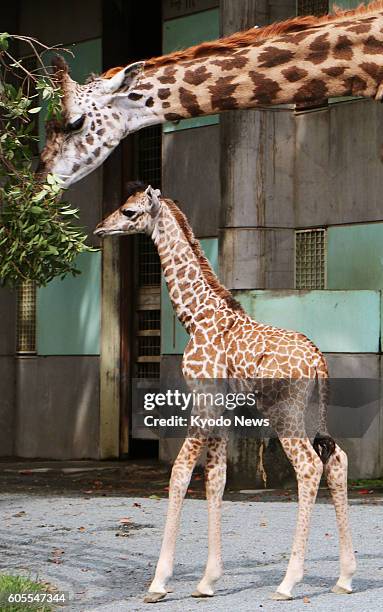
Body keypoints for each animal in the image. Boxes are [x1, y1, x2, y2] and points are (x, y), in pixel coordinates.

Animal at [94, 182, 356, 604]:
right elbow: (216, 478)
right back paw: (345, 577)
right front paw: (207, 581)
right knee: (336, 459)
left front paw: (159, 583)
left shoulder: (201, 400)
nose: (101, 227)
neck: (196, 317)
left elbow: (180, 474)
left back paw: (288, 582)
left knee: (309, 466)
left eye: (129, 211)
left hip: (285, 411)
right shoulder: (222, 409)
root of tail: (318, 360)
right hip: (314, 411)